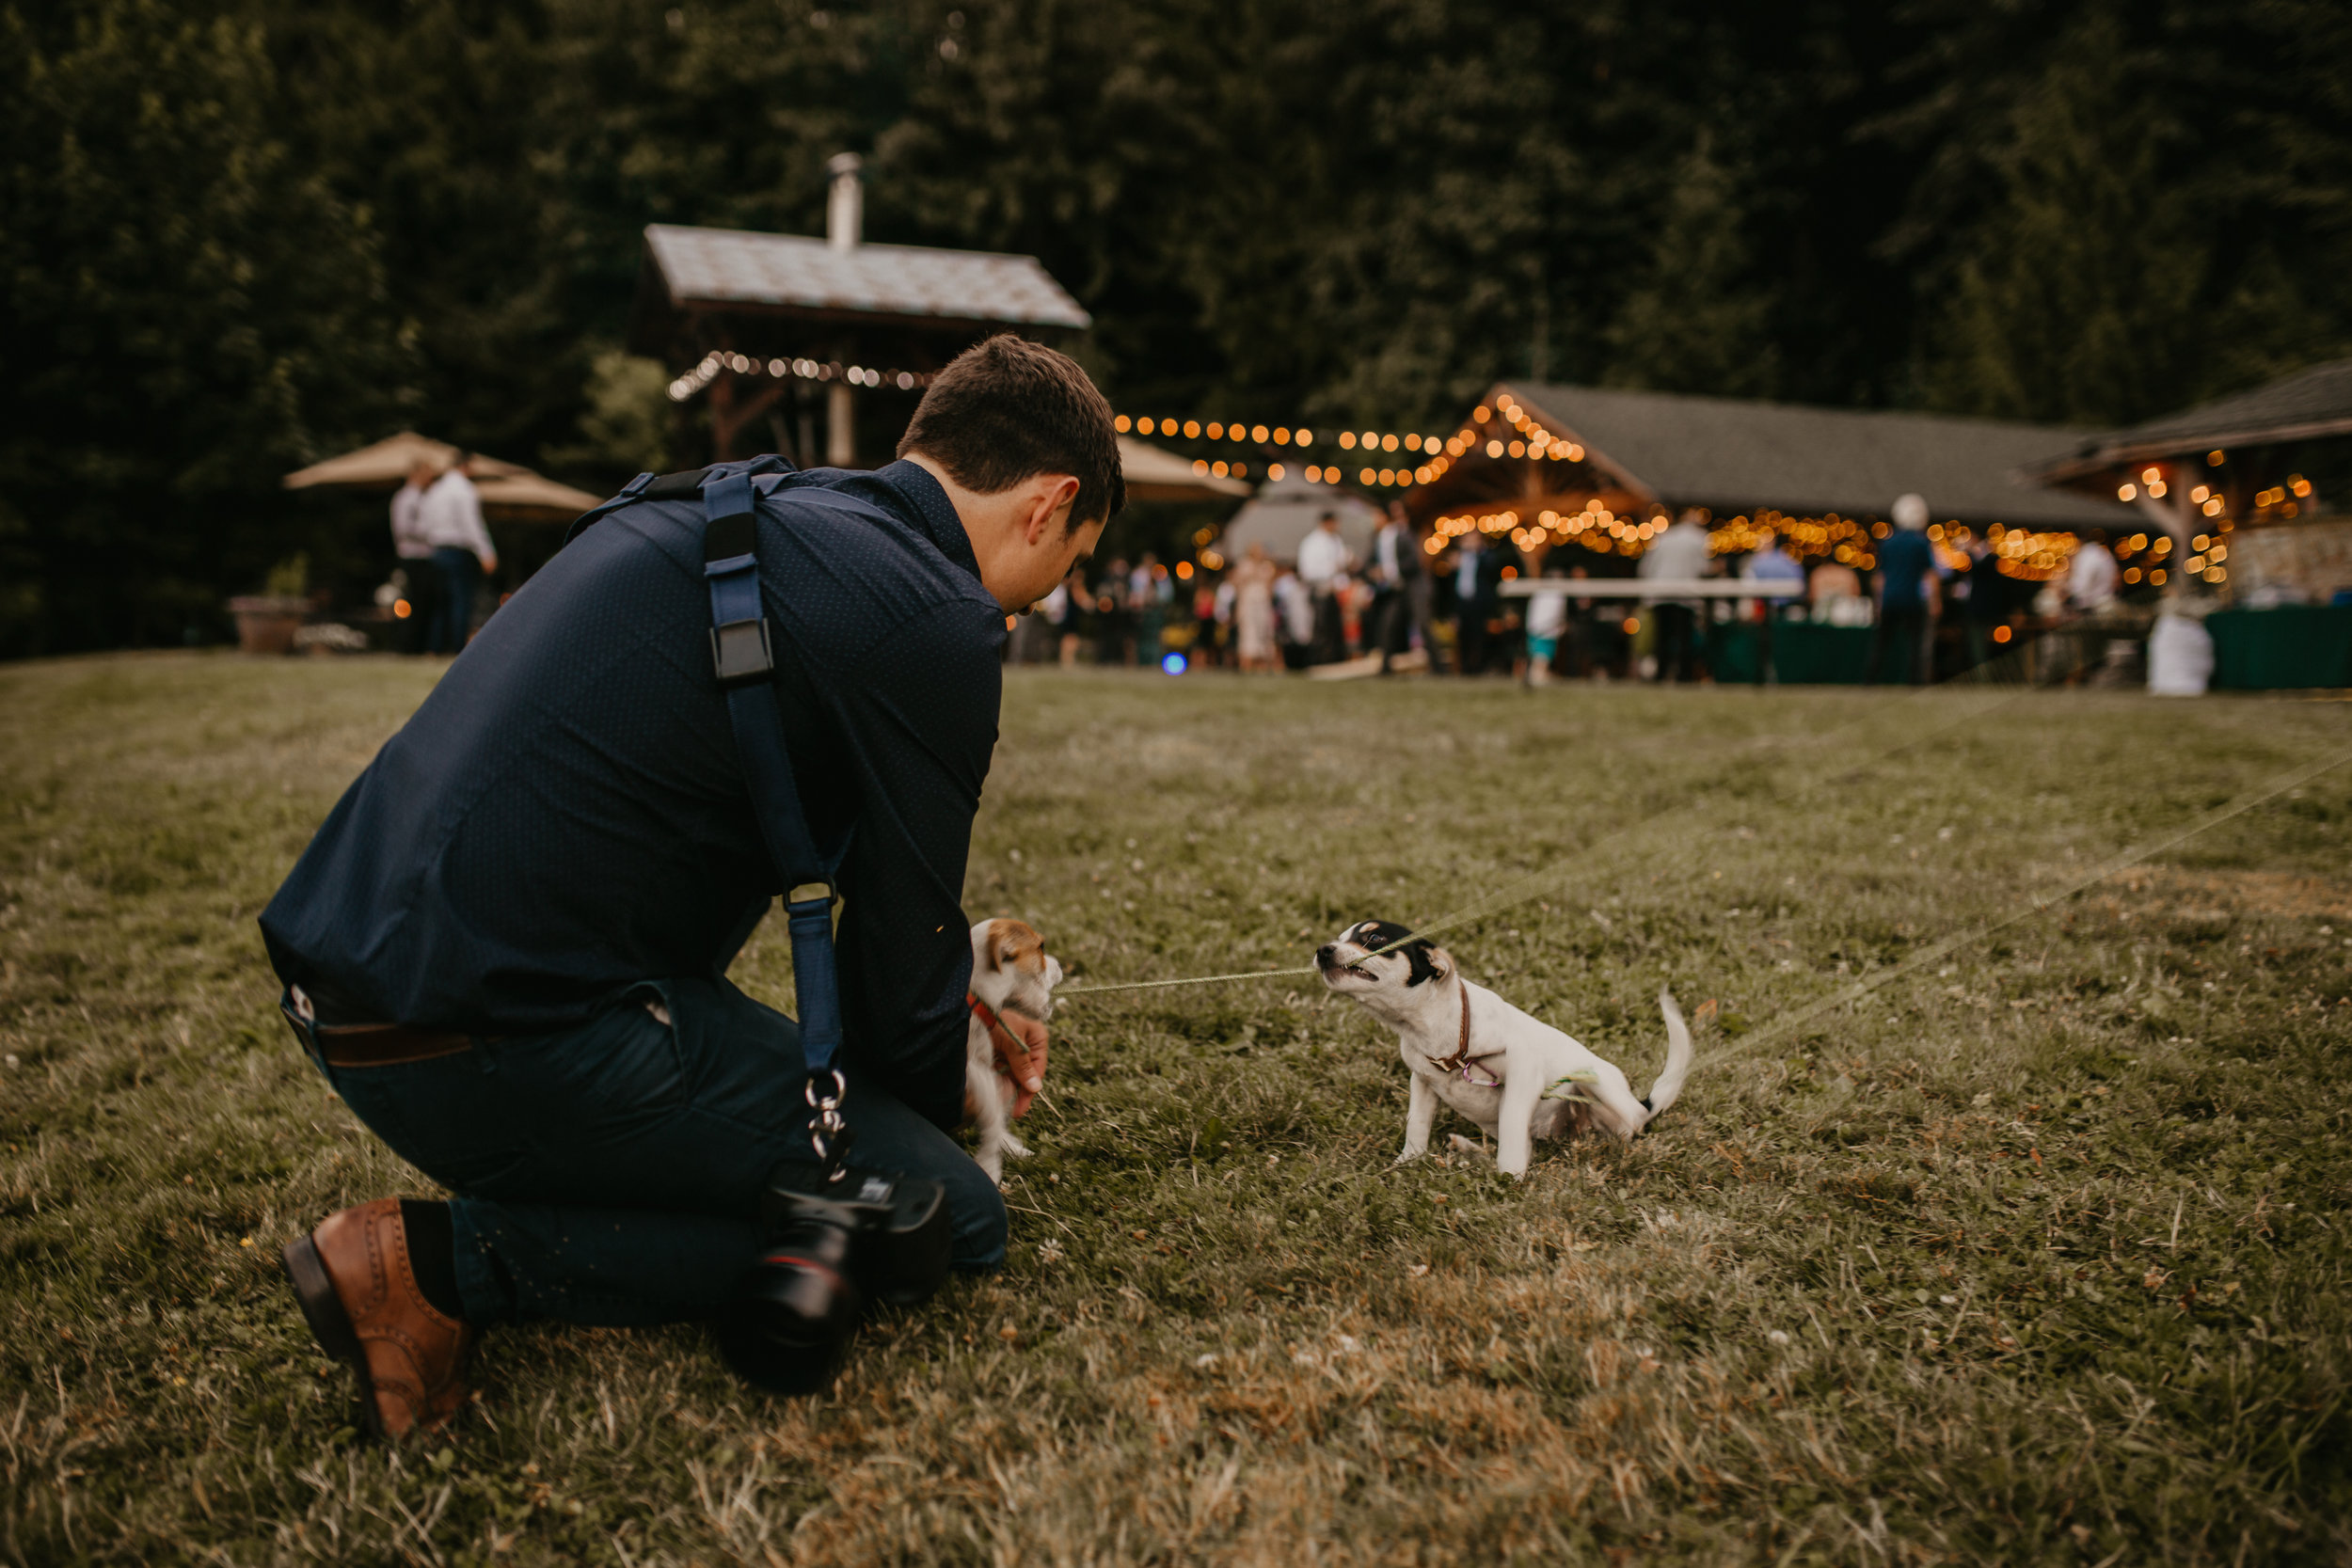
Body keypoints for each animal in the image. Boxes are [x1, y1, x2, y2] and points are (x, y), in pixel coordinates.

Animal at [960, 911, 1063, 1184]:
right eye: (1041, 947)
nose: (1060, 965)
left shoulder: (983, 1066)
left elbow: (995, 1112)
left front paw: (1009, 1147)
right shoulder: (972, 1072)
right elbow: (992, 1114)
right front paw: (990, 1164)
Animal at [1327, 921, 1693, 1175]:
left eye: (1375, 939)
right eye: (1341, 938)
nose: (1322, 950)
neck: (1435, 1027)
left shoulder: (1522, 1072)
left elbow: (1512, 1129)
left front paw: (1509, 1176)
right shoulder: (1423, 1081)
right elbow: (1416, 1125)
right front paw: (1407, 1161)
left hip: (1595, 1082)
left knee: (1630, 1124)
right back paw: (1467, 1150)